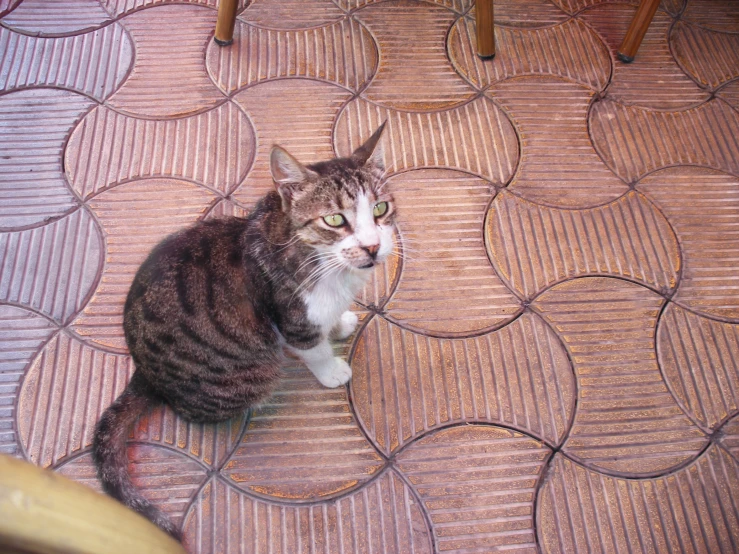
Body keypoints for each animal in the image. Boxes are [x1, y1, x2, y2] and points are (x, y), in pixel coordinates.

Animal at [93, 122, 396, 540]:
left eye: (381, 209)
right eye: (335, 220)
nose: (372, 247)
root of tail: (143, 370)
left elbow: (330, 319)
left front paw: (340, 323)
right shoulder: (291, 316)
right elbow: (312, 347)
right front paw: (332, 369)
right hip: (246, 375)